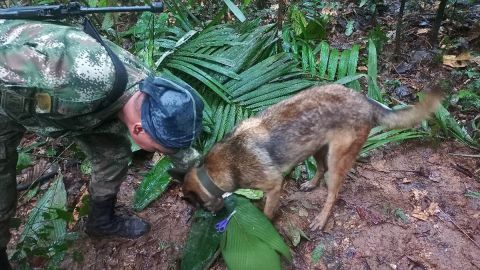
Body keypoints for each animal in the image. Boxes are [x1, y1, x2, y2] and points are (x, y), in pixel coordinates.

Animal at [178, 84, 440, 230]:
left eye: (197, 205)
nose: (212, 216)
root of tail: (365, 100)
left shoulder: (274, 186)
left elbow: (267, 212)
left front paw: (265, 224)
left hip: (337, 159)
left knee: (333, 192)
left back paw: (321, 219)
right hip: (316, 147)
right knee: (320, 169)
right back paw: (311, 184)